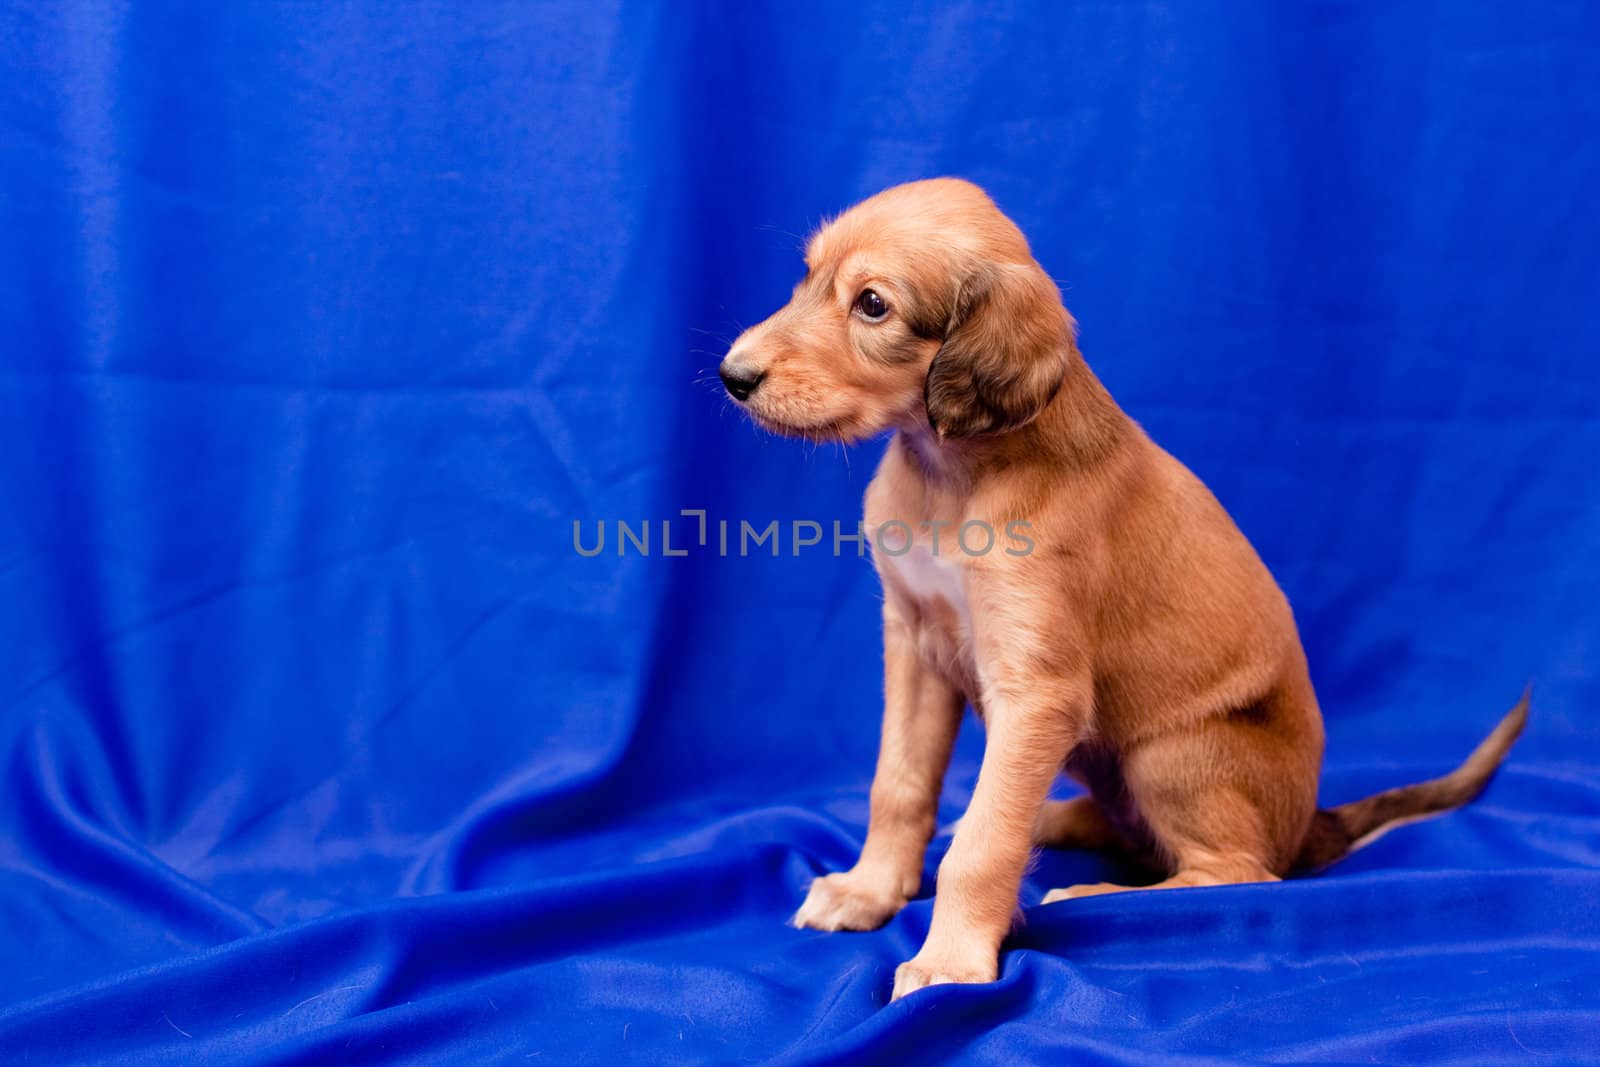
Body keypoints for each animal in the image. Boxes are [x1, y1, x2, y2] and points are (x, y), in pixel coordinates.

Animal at [720, 177, 1529, 1004]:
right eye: (807, 275)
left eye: (873, 304)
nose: (732, 375)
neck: (952, 476)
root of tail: (1311, 822)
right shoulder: (915, 642)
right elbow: (900, 785)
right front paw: (870, 889)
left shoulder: (1038, 691)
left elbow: (983, 838)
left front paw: (950, 959)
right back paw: (1057, 824)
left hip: (1171, 752)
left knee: (1241, 870)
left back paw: (1097, 892)